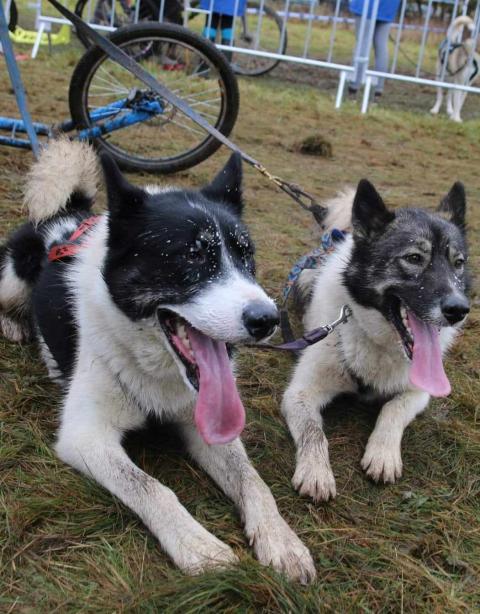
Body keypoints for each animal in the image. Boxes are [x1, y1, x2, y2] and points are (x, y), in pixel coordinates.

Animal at [0, 142, 316, 584]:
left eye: (247, 256)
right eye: (191, 256)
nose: (267, 319)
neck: (153, 368)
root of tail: (67, 215)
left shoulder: (207, 425)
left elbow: (252, 481)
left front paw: (281, 539)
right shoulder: (86, 436)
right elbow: (151, 488)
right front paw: (198, 546)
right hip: (12, 276)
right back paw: (15, 324)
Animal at [282, 180, 468, 502]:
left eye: (458, 263)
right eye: (414, 258)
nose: (458, 310)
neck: (378, 342)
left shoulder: (418, 392)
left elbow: (392, 410)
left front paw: (383, 454)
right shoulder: (299, 393)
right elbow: (312, 430)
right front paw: (316, 471)